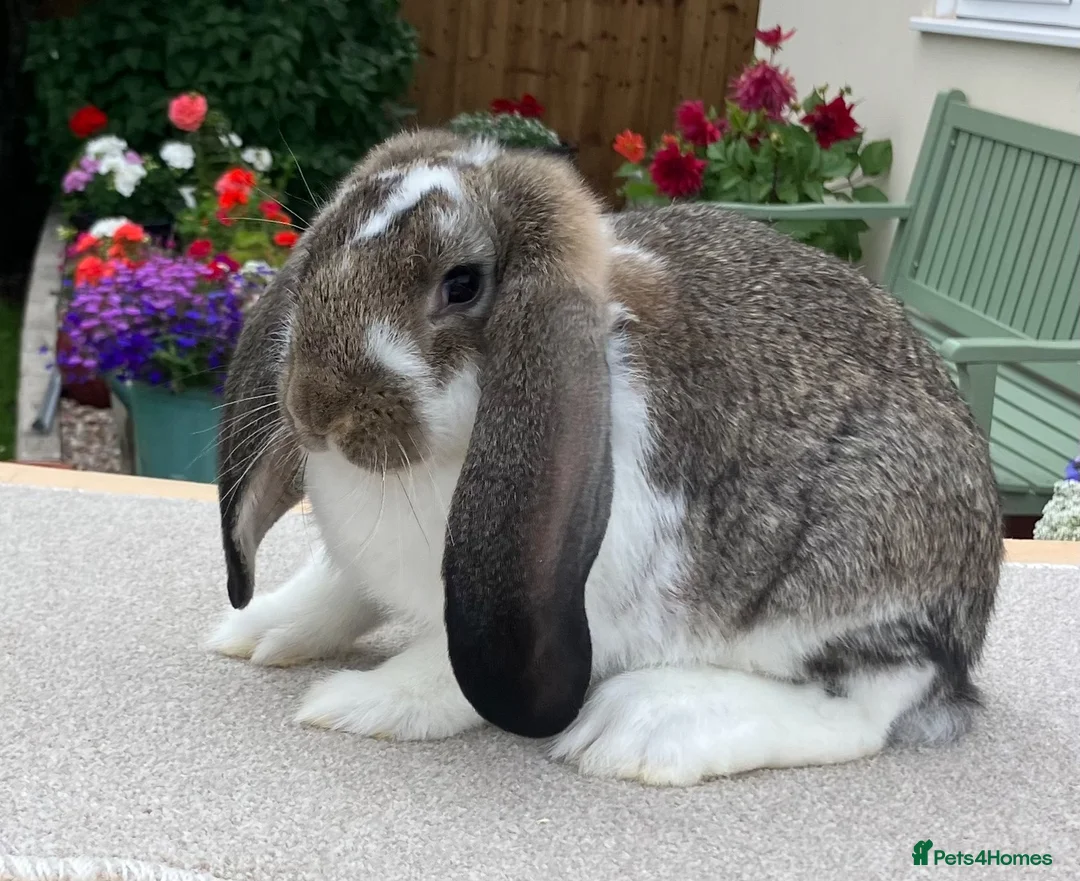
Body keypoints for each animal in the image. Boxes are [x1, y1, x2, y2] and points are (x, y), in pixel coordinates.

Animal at [206, 127, 1003, 786]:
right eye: (320, 254)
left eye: (461, 284)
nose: (313, 407)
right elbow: (335, 589)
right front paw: (257, 630)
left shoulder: (552, 605)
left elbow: (446, 669)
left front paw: (357, 700)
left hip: (846, 572)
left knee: (868, 704)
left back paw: (645, 727)